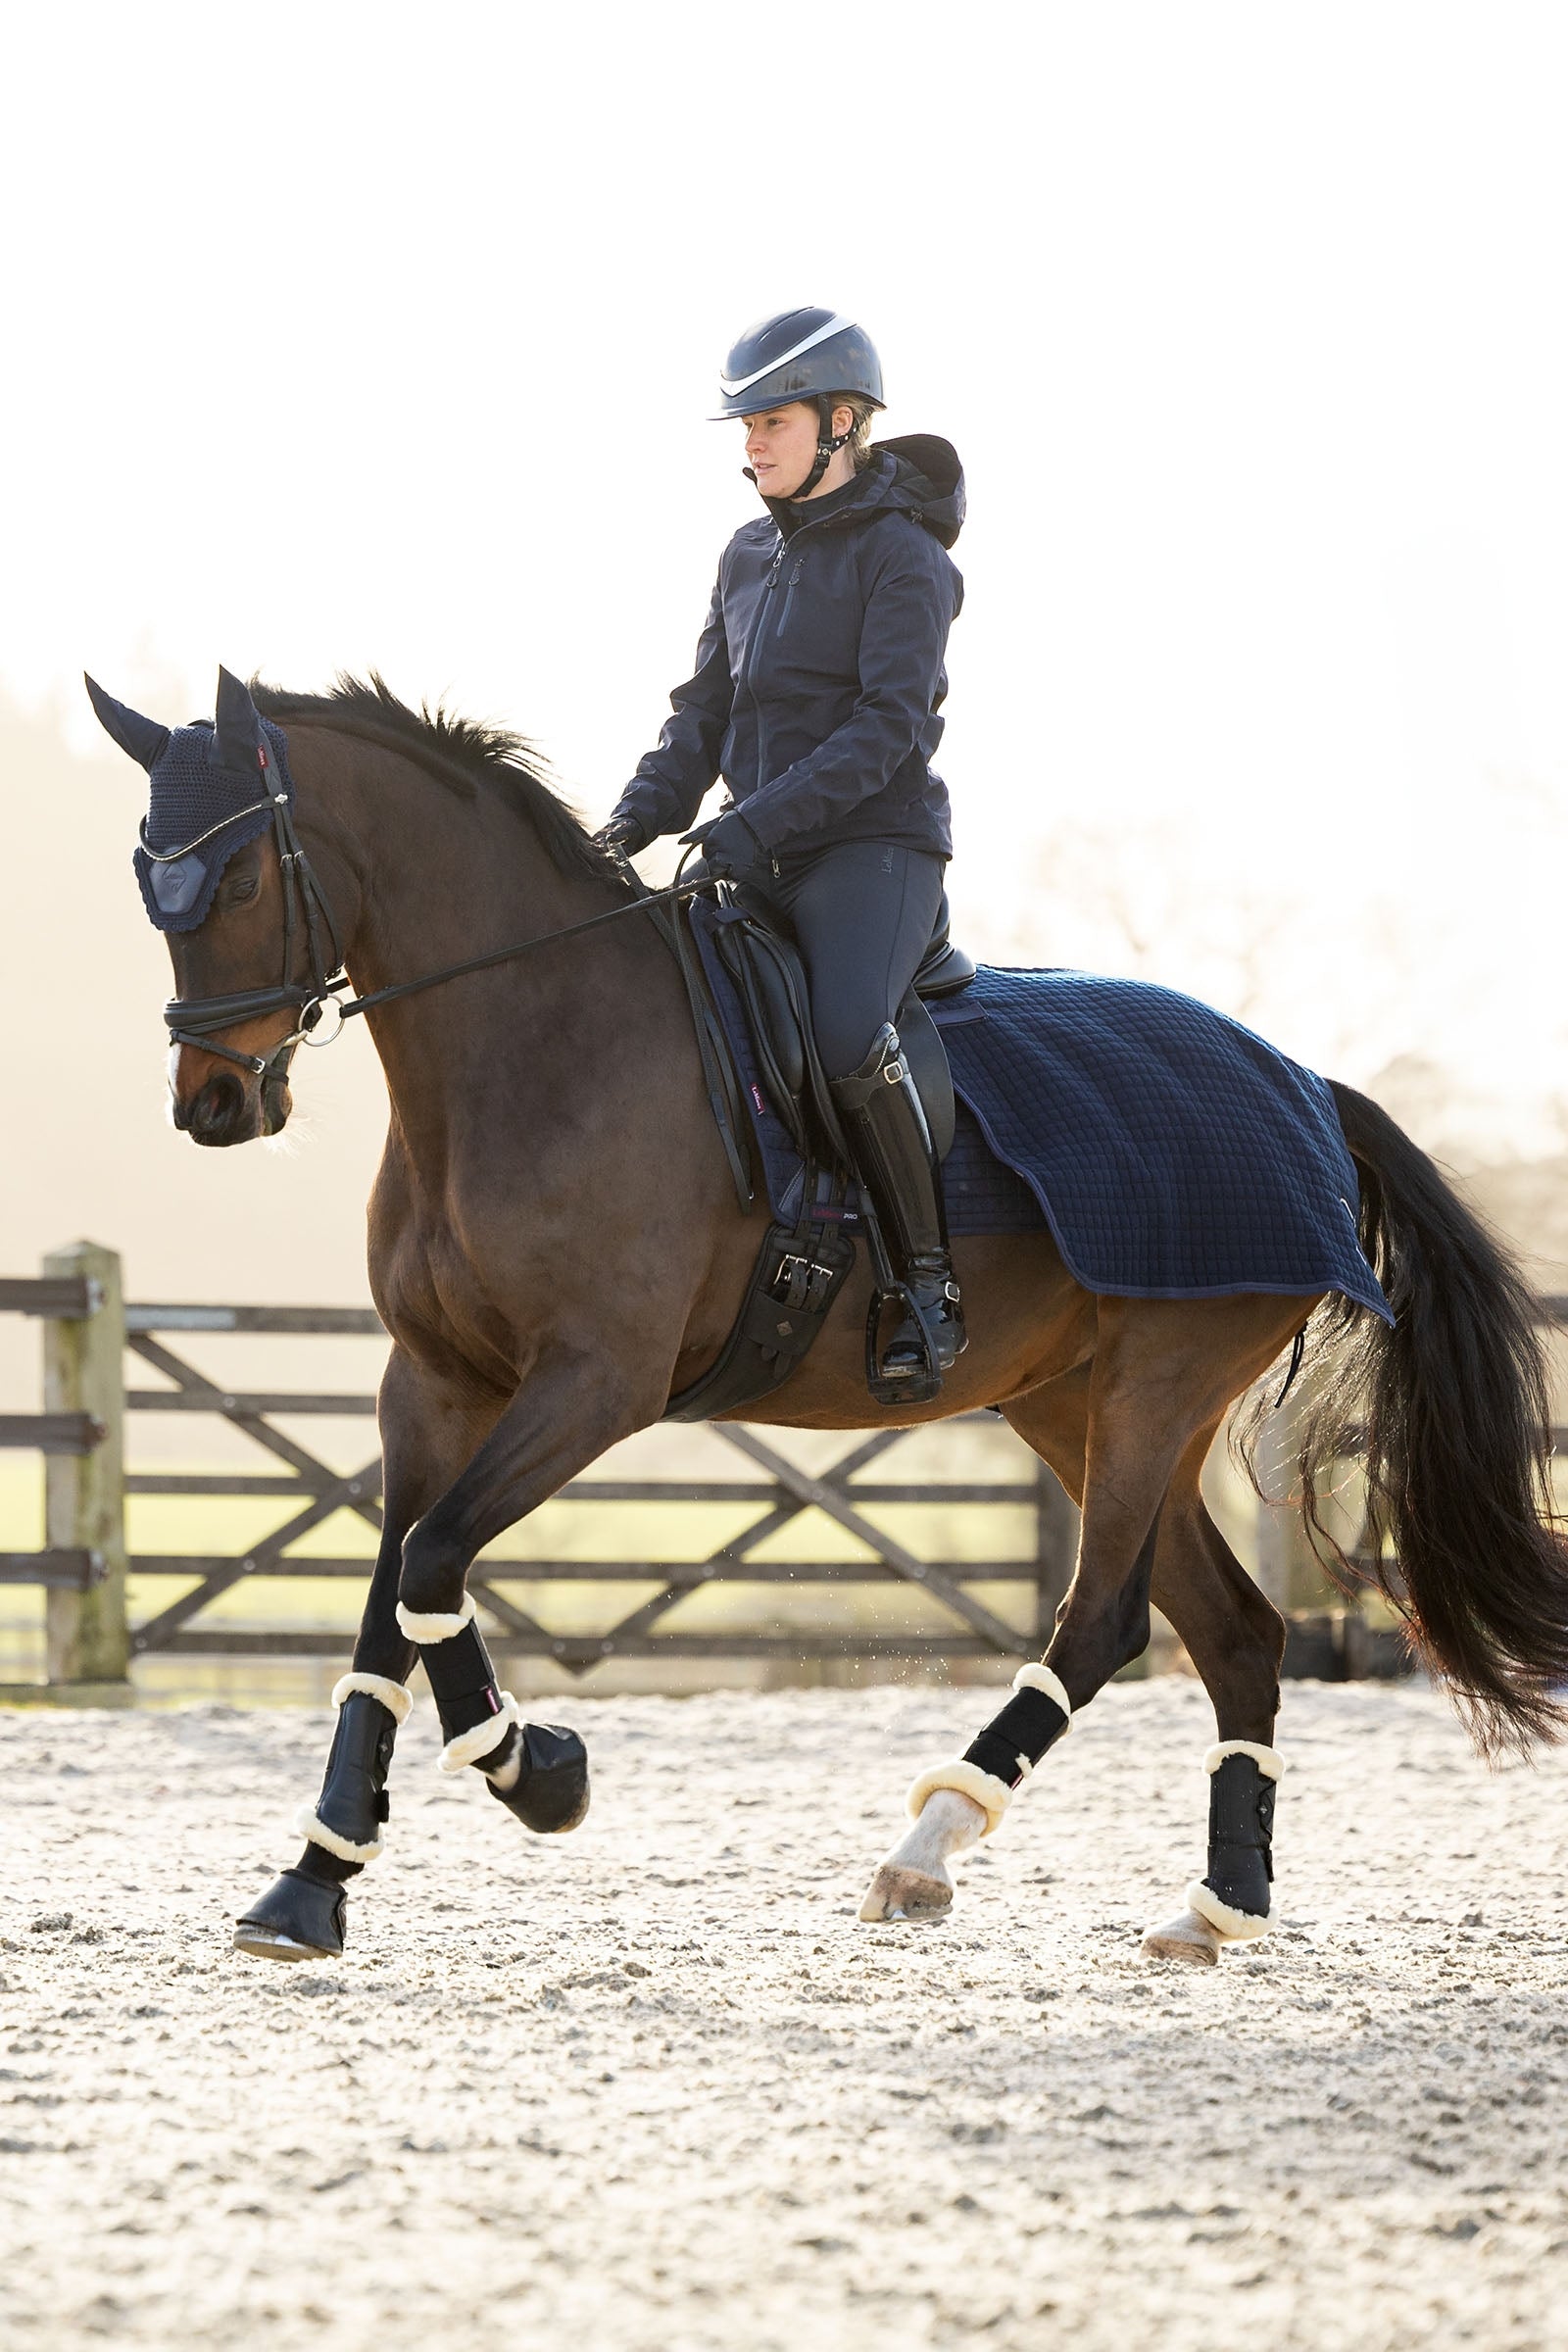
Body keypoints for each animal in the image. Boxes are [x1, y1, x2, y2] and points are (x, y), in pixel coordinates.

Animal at [90, 668, 1568, 1967]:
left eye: (235, 878)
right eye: (145, 881)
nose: (213, 1103)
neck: (535, 1040)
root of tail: (1307, 1083)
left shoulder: (595, 1382)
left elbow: (435, 1564)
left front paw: (540, 1772)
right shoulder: (432, 1384)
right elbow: (389, 1607)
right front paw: (312, 1882)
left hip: (1156, 1386)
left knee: (1102, 1624)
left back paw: (926, 1850)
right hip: (1068, 1400)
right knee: (1238, 1637)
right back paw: (1215, 1911)